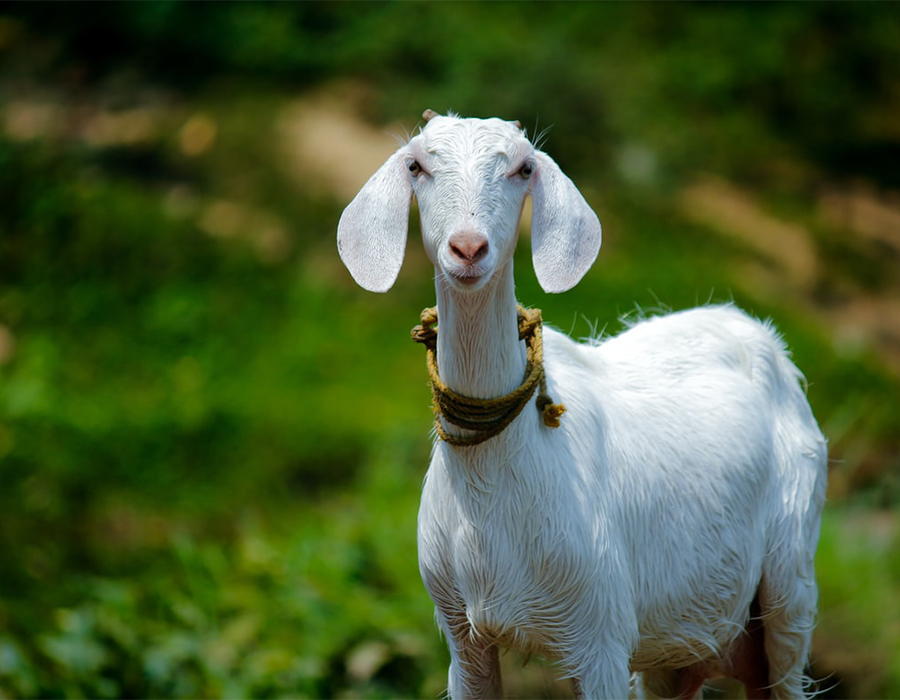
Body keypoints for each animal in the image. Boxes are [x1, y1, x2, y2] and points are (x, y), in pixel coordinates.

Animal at [337, 111, 827, 700]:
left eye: (523, 168)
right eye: (416, 164)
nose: (468, 249)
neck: (496, 483)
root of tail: (758, 332)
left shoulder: (600, 634)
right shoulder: (461, 634)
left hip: (791, 582)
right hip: (679, 646)